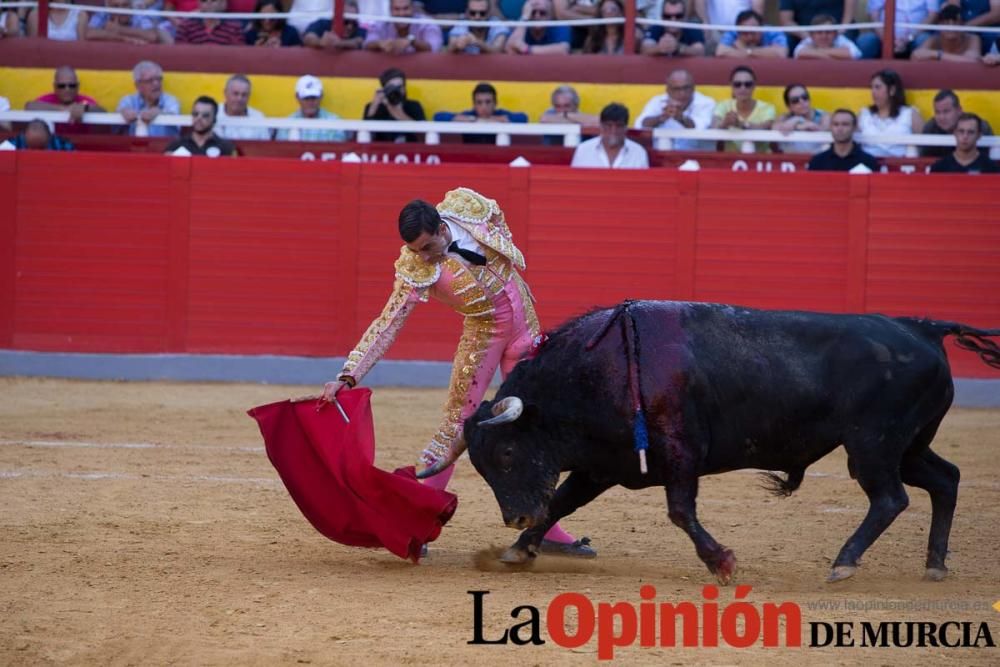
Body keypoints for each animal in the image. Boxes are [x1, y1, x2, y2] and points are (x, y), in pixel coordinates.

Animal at [458, 302, 996, 584]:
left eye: (507, 453)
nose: (515, 517)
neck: (595, 369)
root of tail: (923, 327)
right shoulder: (602, 465)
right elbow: (561, 503)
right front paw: (519, 549)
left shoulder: (679, 454)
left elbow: (680, 511)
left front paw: (722, 562)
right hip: (907, 446)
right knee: (945, 479)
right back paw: (934, 564)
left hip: (873, 446)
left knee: (890, 498)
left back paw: (844, 562)